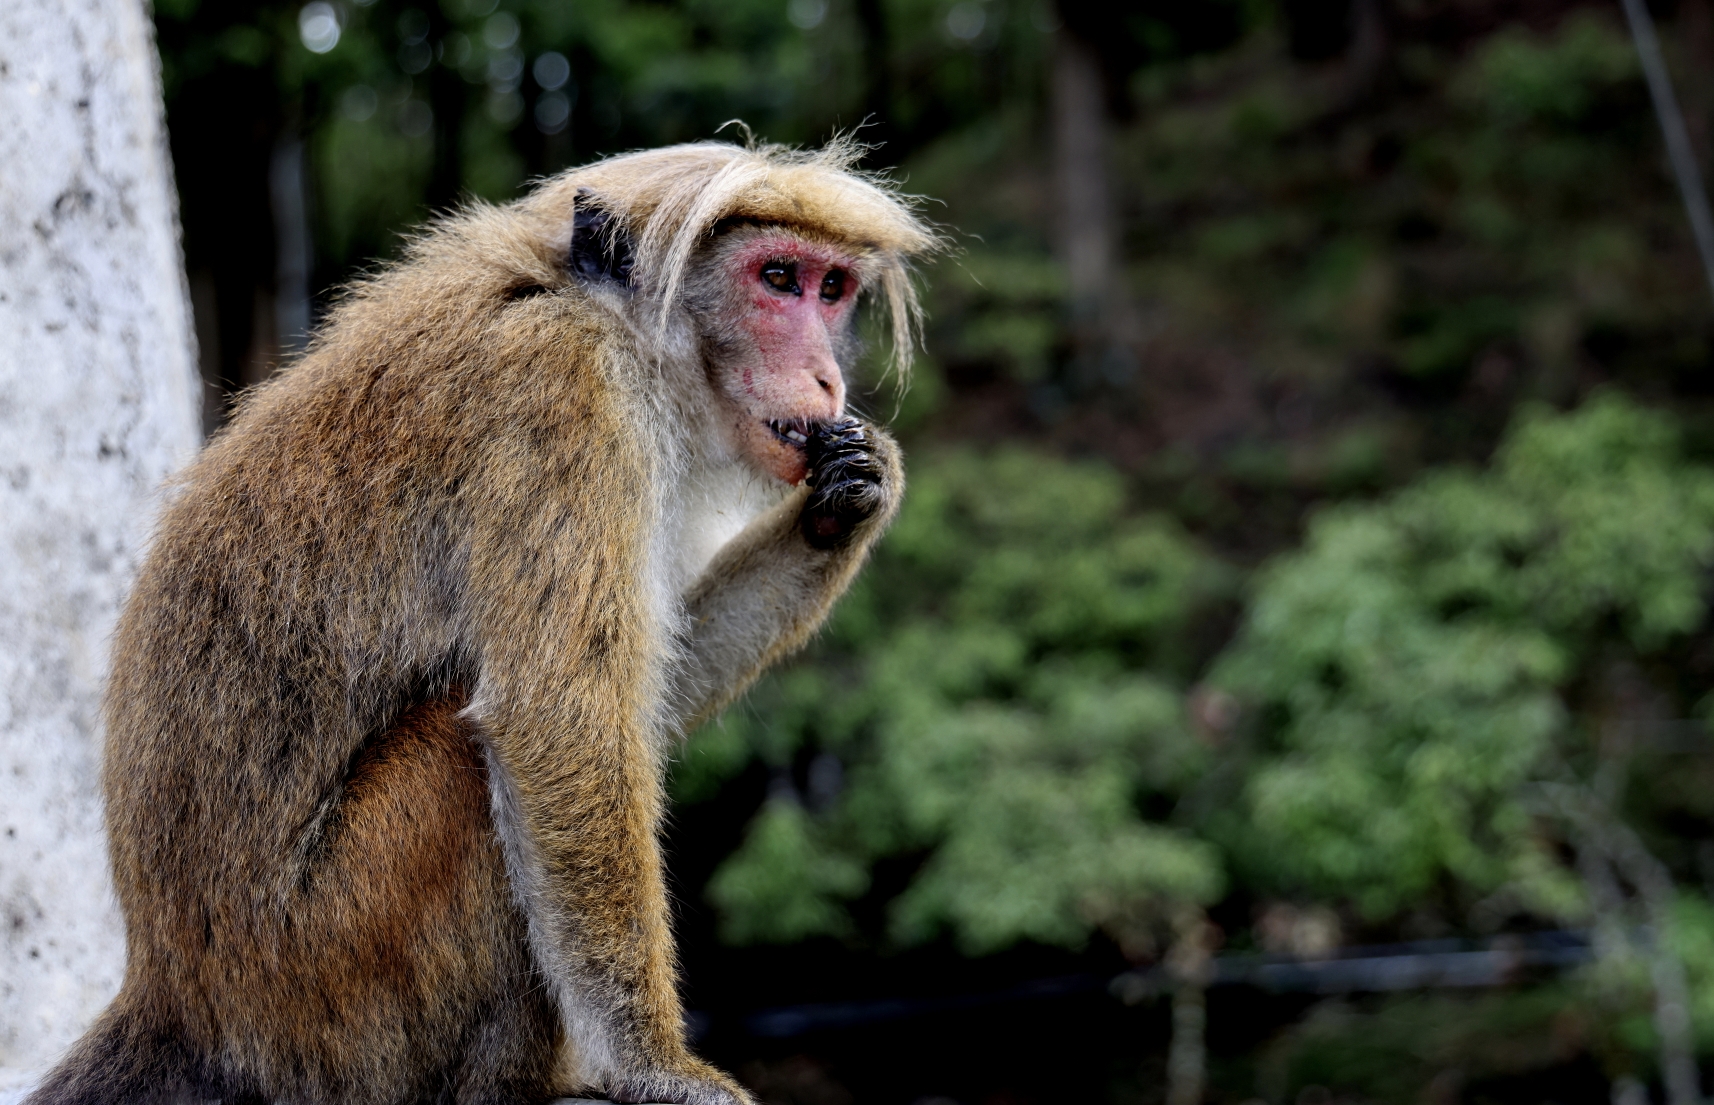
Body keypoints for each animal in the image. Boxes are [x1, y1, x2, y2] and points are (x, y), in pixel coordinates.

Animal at [26, 137, 939, 1103]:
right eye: (776, 278)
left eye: (830, 288)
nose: (827, 375)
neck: (601, 312)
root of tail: (176, 997)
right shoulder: (563, 394)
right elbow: (559, 720)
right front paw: (654, 1067)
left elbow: (652, 689)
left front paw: (849, 500)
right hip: (330, 979)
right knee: (460, 759)